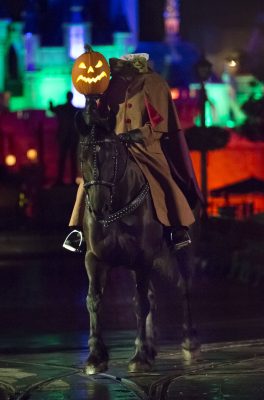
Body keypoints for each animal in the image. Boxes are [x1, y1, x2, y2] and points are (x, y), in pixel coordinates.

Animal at [79, 119, 199, 376]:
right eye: (81, 157)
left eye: (112, 155)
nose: (98, 207)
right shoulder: (94, 258)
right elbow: (93, 300)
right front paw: (96, 357)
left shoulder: (143, 259)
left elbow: (140, 304)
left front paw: (140, 356)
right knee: (152, 295)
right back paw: (153, 347)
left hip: (181, 252)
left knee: (184, 287)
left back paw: (189, 341)